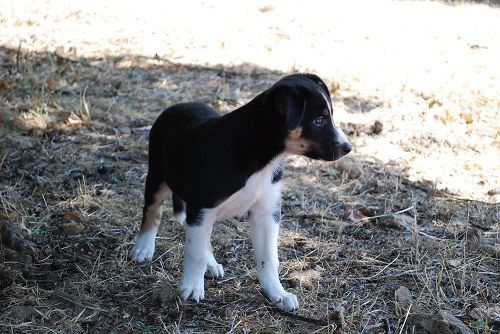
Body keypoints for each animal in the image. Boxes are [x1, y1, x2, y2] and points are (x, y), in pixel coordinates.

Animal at [131, 74, 354, 312]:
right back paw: (143, 248)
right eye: (319, 120)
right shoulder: (203, 207)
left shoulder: (265, 213)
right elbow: (195, 253)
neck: (260, 159)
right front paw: (191, 287)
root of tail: (177, 105)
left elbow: (268, 258)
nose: (348, 148)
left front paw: (277, 294)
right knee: (153, 211)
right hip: (157, 176)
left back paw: (211, 264)